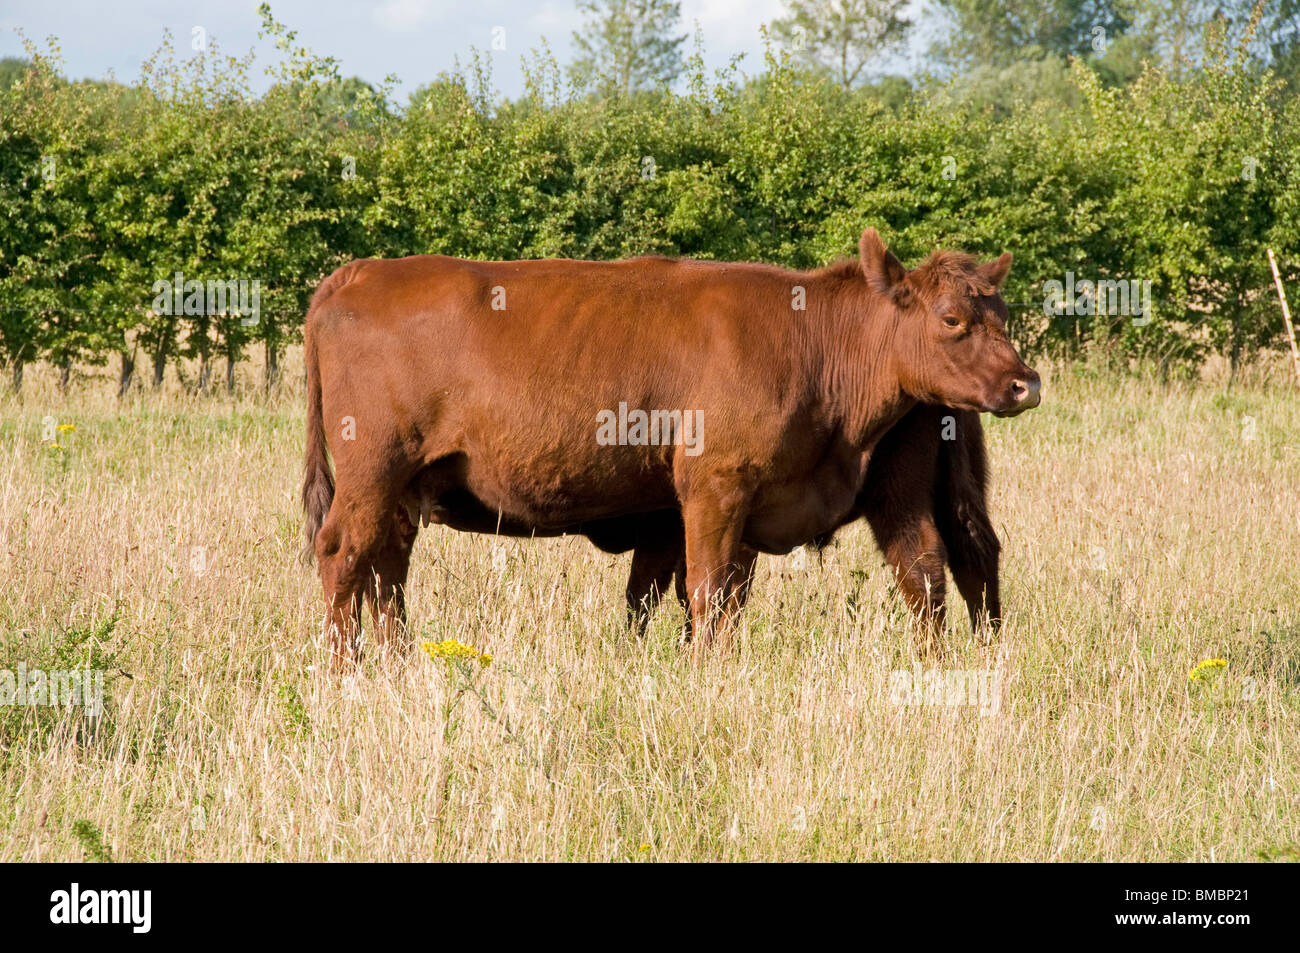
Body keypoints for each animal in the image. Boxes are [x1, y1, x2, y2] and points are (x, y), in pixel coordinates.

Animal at [301, 230, 1034, 660]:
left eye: (1003, 315)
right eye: (952, 318)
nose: (1024, 382)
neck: (816, 343)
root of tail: (357, 274)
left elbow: (704, 593)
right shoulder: (715, 490)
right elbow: (707, 590)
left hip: (400, 487)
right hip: (373, 470)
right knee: (344, 554)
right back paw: (345, 667)